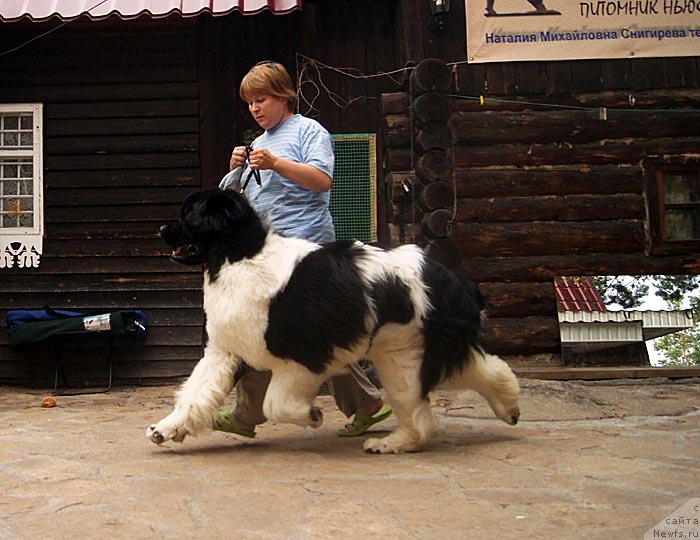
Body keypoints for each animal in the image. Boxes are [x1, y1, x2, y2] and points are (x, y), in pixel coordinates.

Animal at [148, 190, 520, 456]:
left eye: (189, 213)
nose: (161, 228)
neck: (239, 255)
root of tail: (456, 281)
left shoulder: (302, 358)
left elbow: (275, 403)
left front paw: (312, 415)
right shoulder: (225, 351)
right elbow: (195, 393)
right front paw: (165, 429)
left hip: (407, 357)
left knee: (421, 410)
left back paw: (389, 444)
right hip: (408, 352)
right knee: (486, 370)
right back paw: (509, 408)